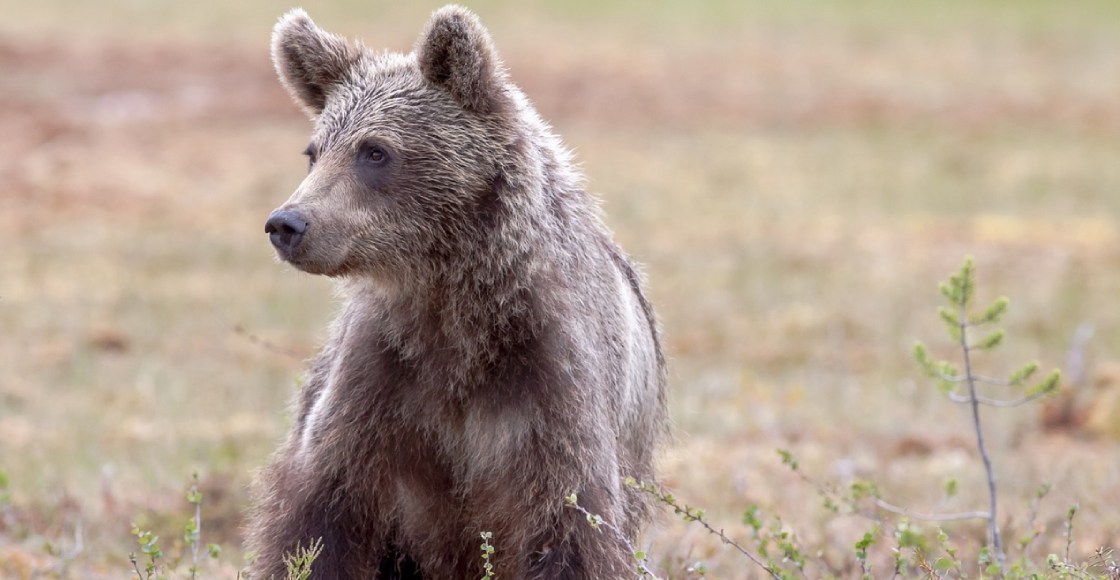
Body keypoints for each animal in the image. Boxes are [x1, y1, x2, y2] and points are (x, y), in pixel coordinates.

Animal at [246, 5, 666, 579]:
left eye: (374, 151)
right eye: (314, 152)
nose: (288, 224)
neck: (456, 308)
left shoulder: (551, 388)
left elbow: (572, 530)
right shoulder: (379, 384)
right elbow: (318, 522)